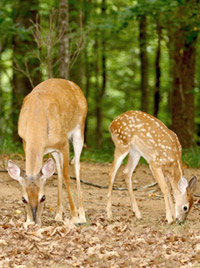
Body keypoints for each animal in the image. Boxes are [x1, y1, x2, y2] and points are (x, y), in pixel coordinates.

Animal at [7, 78, 87, 225]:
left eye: (43, 197)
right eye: (23, 199)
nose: (35, 221)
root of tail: (75, 86)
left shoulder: (63, 142)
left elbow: (67, 177)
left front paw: (74, 215)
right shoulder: (24, 140)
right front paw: (27, 220)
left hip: (79, 129)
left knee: (77, 165)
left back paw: (82, 215)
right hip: (54, 150)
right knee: (58, 170)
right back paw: (58, 214)